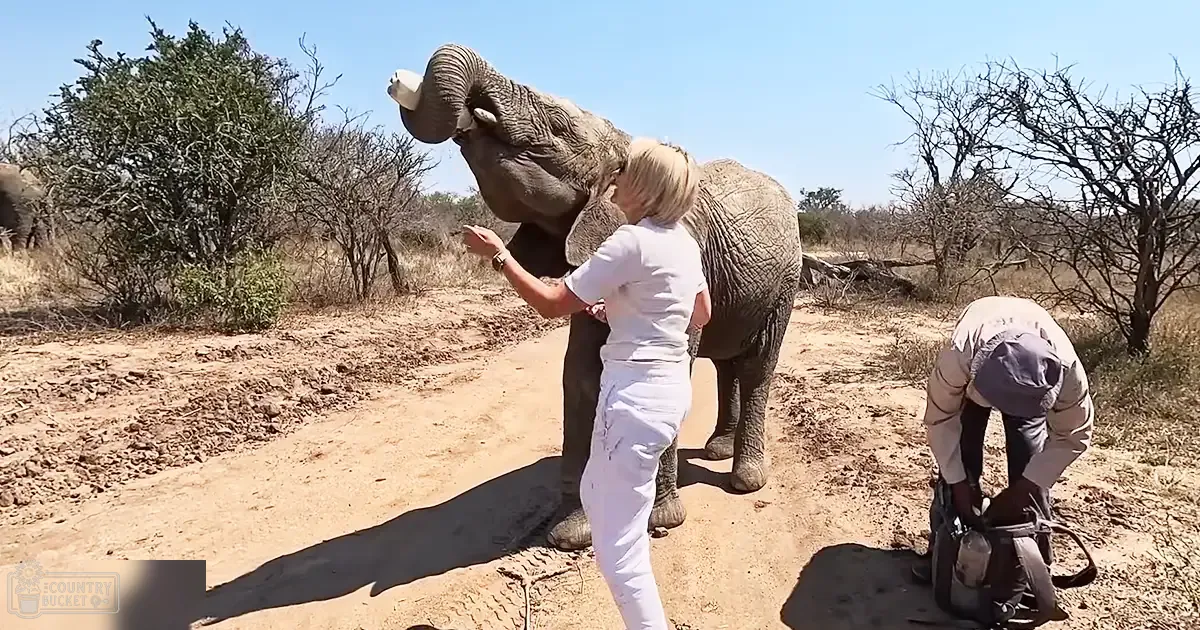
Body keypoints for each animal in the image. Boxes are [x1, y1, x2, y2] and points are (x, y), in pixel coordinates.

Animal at [388, 44, 803, 550]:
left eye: (557, 127)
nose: (397, 81)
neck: (627, 144)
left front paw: (661, 522)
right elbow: (580, 374)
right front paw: (569, 535)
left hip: (786, 283)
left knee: (758, 364)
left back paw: (746, 479)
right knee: (728, 365)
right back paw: (716, 450)